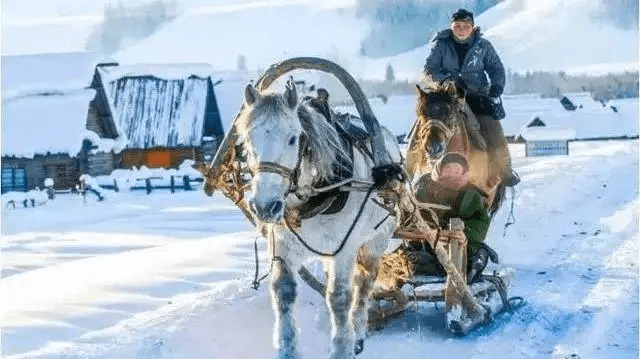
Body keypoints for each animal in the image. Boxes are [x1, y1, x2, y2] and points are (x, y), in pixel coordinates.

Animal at [235, 79, 402, 359]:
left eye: (293, 138)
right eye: (247, 140)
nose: (265, 206)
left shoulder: (345, 249)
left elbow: (340, 298)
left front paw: (342, 347)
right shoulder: (282, 246)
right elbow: (283, 291)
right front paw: (287, 349)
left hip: (377, 238)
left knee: (364, 282)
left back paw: (358, 331)